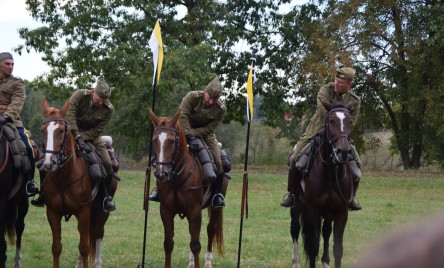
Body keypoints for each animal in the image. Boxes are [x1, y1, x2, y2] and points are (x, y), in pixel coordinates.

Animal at [40, 99, 117, 268]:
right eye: (42, 130)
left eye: (61, 131)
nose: (49, 163)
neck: (64, 177)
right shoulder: (52, 213)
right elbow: (56, 247)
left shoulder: (84, 212)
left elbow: (85, 247)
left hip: (102, 211)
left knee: (97, 233)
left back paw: (97, 263)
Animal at [148, 109, 227, 268]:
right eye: (154, 140)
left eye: (171, 141)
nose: (161, 174)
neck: (177, 177)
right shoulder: (166, 211)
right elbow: (168, 243)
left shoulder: (195, 210)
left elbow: (196, 245)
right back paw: (190, 261)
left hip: (215, 208)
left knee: (210, 230)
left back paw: (208, 262)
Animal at [290, 100, 356, 268]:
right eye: (331, 121)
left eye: (350, 121)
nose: (343, 151)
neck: (330, 176)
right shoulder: (312, 210)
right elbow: (313, 247)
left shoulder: (341, 212)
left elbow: (338, 249)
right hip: (297, 205)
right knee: (295, 229)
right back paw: (296, 262)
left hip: (327, 213)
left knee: (326, 232)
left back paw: (325, 262)